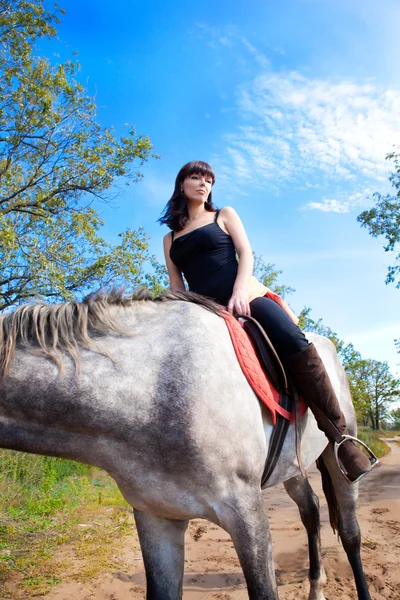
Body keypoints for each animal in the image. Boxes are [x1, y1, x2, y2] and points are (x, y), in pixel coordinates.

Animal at [0, 288, 372, 596]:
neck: (152, 389)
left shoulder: (247, 513)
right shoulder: (156, 517)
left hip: (338, 457)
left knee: (350, 533)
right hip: (292, 466)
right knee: (311, 508)